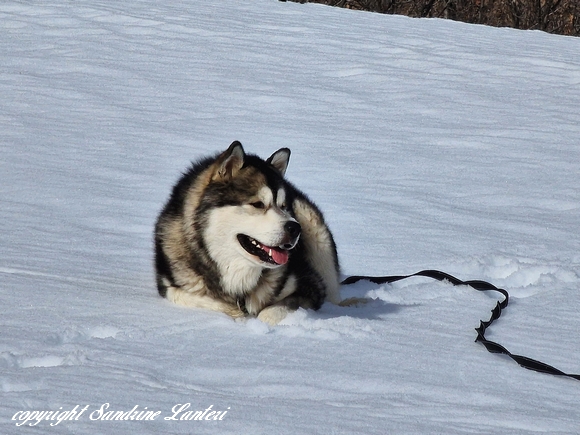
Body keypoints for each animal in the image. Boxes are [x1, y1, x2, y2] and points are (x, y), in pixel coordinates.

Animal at [154, 141, 342, 325]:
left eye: (283, 206)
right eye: (258, 204)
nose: (295, 228)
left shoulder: (311, 285)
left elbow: (269, 313)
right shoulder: (170, 285)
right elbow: (192, 297)